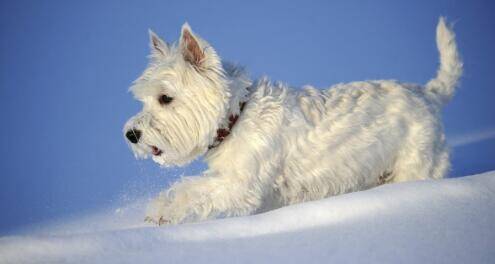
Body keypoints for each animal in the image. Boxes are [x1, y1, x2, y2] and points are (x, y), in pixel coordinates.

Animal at [123, 17, 462, 225]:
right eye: (143, 100)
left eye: (165, 98)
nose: (131, 134)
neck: (237, 118)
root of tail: (429, 93)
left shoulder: (241, 185)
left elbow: (192, 188)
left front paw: (162, 211)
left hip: (416, 164)